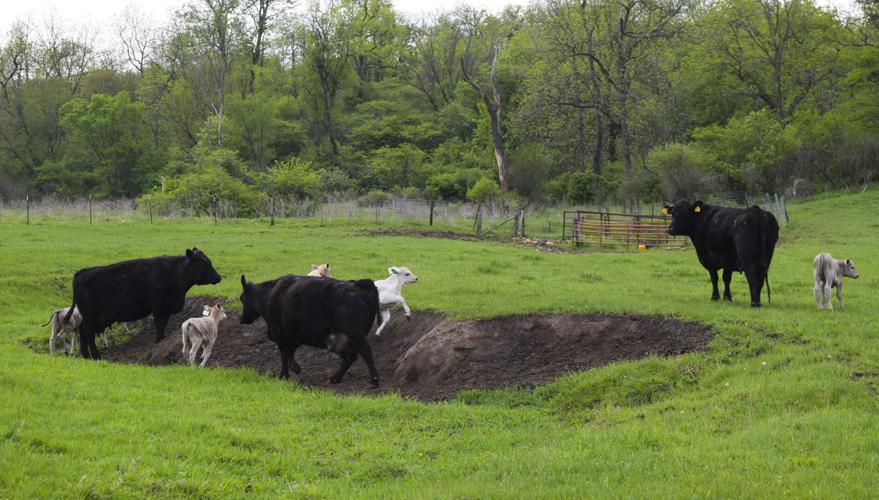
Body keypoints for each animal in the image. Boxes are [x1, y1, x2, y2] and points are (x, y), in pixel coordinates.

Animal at [65, 248, 222, 359]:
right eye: (204, 263)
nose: (218, 277)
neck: (175, 274)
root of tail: (81, 272)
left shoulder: (166, 310)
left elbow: (163, 327)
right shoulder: (159, 309)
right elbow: (159, 327)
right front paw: (158, 343)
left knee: (83, 332)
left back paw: (86, 356)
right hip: (91, 317)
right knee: (87, 333)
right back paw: (95, 356)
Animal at [239, 274, 382, 386]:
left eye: (242, 298)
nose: (242, 319)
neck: (269, 296)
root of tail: (358, 284)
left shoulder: (280, 336)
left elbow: (284, 356)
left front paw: (284, 376)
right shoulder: (294, 336)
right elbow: (290, 354)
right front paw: (295, 368)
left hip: (354, 333)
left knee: (364, 352)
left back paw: (374, 380)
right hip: (355, 335)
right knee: (351, 356)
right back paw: (335, 378)